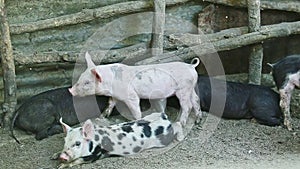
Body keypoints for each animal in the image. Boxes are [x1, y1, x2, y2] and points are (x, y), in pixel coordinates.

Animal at [69, 52, 202, 126]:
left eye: (87, 82)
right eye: (80, 78)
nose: (70, 90)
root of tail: (191, 66)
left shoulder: (130, 95)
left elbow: (135, 108)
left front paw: (138, 119)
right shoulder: (115, 95)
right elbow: (110, 103)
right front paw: (102, 116)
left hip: (183, 89)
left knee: (188, 105)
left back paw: (180, 123)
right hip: (191, 88)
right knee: (196, 99)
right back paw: (198, 120)